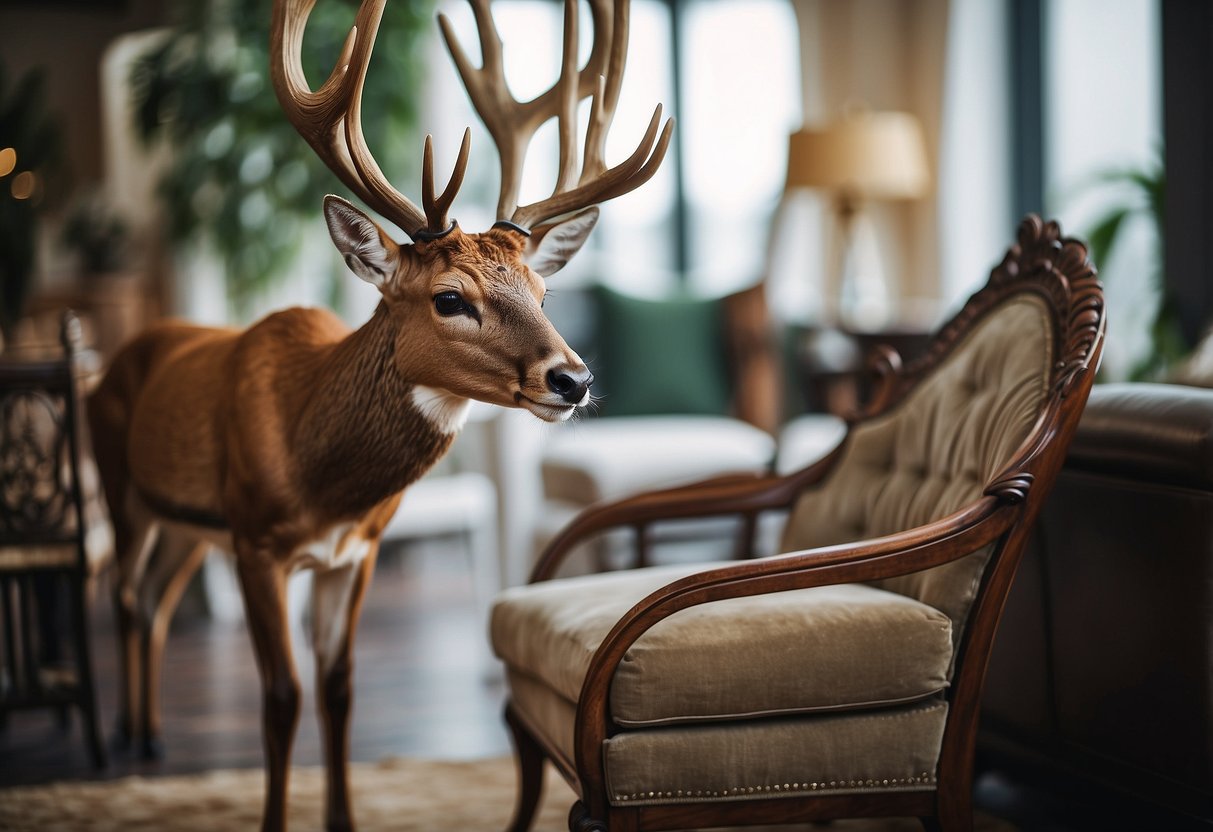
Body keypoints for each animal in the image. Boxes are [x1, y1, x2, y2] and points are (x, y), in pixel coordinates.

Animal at [85, 1, 672, 830]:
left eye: (542, 292)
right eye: (450, 298)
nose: (573, 378)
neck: (317, 472)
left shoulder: (353, 551)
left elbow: (339, 688)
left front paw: (343, 817)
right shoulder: (256, 542)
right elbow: (280, 697)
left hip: (186, 525)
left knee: (153, 601)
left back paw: (149, 734)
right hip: (122, 488)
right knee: (125, 595)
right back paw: (127, 740)